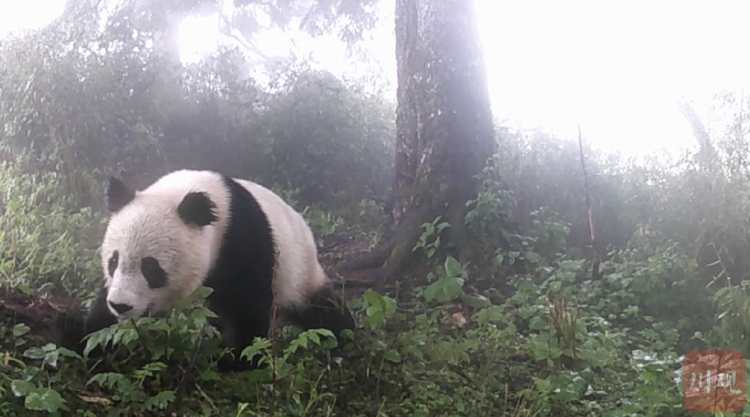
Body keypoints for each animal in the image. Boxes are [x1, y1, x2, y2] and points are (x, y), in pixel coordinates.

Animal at [55, 169, 356, 370]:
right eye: (113, 261)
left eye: (151, 268)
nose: (121, 306)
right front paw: (78, 333)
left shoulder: (241, 239)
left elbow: (251, 303)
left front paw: (239, 360)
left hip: (297, 271)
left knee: (322, 310)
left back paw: (345, 337)